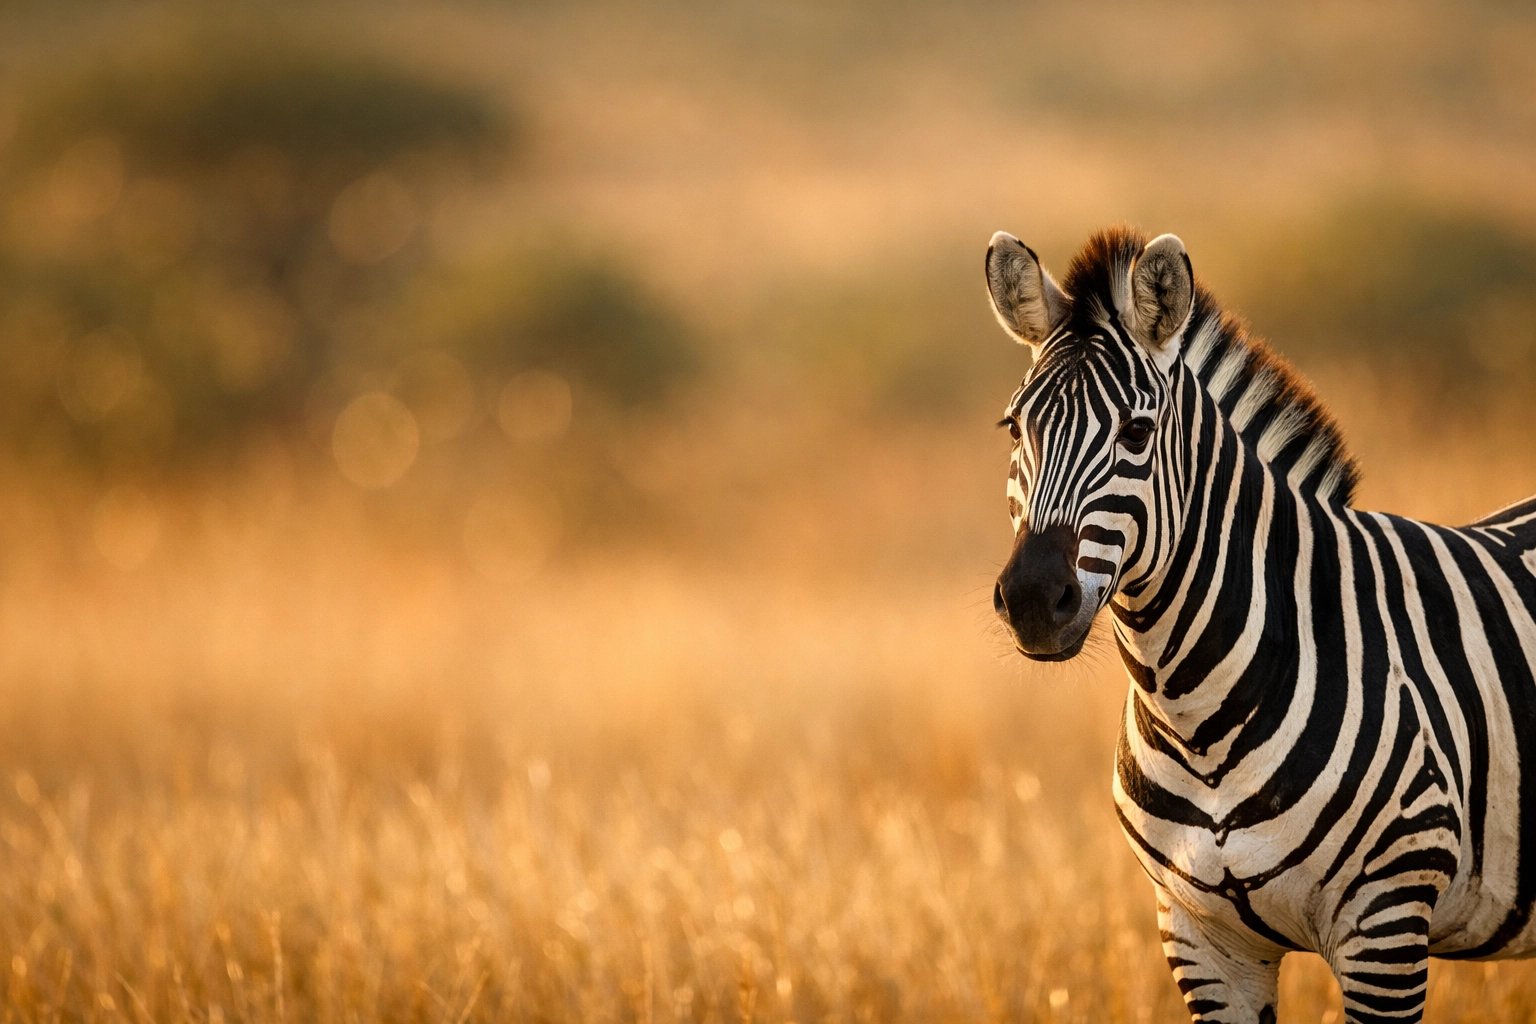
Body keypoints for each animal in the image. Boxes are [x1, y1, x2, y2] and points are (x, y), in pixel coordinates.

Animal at [986, 226, 1536, 1023]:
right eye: (1014, 427)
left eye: (1138, 432)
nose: (1032, 598)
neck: (1198, 717)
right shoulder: (1201, 937)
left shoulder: (1385, 924)